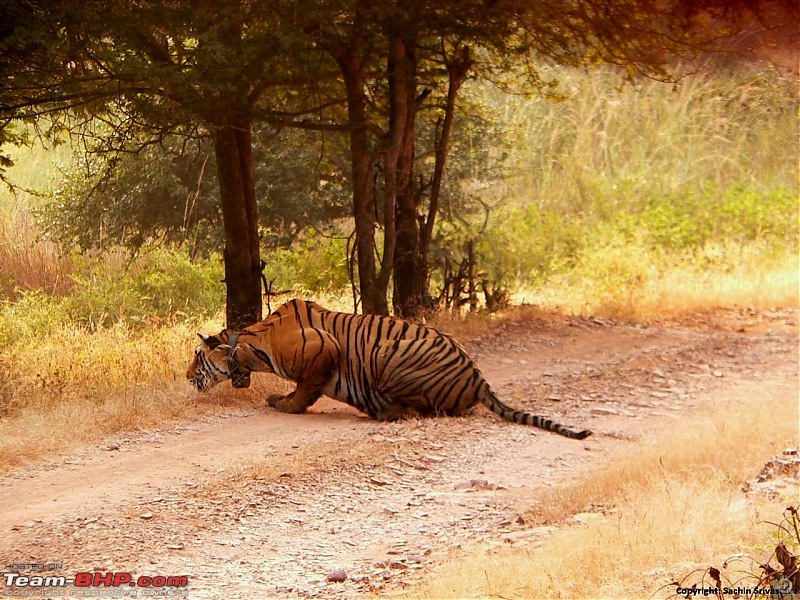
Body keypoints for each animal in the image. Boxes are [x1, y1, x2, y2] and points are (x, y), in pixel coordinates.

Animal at [184, 298, 592, 438]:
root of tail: (479, 378)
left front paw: (281, 403)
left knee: (418, 410)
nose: (187, 377)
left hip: (388, 357)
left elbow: (302, 392)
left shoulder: (322, 351)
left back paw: (382, 411)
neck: (247, 345)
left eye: (196, 356)